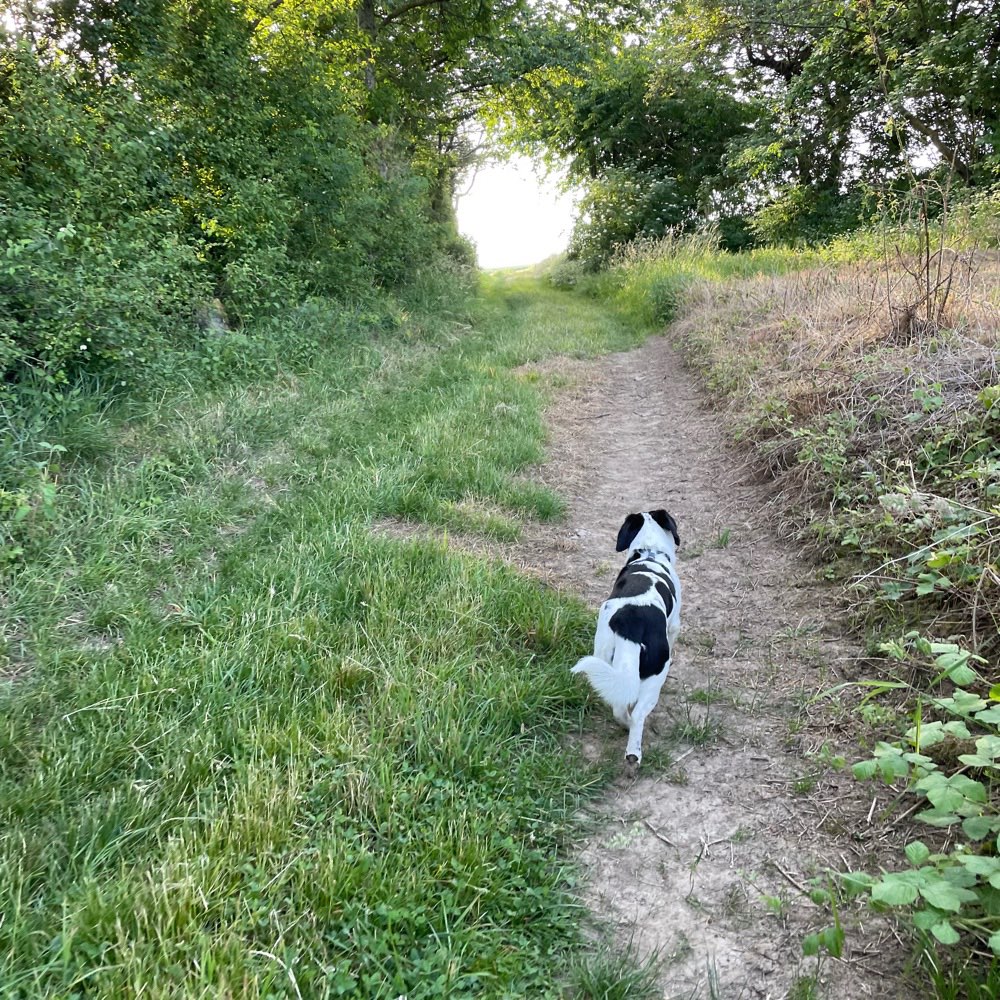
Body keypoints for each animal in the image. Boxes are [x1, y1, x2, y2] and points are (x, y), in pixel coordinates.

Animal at [572, 516, 680, 764]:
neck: (649, 553)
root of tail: (632, 623)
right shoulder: (674, 625)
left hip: (605, 657)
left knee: (618, 707)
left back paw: (625, 726)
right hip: (655, 677)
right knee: (638, 714)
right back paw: (634, 752)